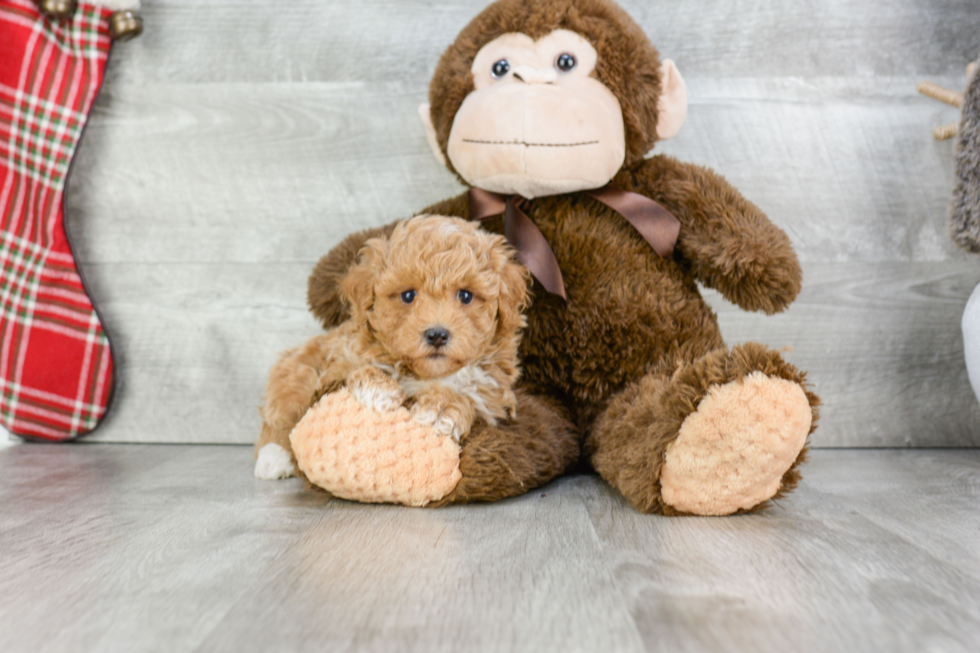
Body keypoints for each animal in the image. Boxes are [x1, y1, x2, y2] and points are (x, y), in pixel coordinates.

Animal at [253, 215, 528, 478]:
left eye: (466, 296)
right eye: (408, 295)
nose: (437, 335)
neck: (427, 374)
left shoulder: (491, 398)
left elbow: (469, 399)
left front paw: (441, 409)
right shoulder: (340, 356)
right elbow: (353, 369)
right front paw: (378, 387)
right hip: (298, 372)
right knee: (281, 415)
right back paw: (272, 458)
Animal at [302, 0, 816, 516]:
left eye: (566, 61)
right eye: (499, 66)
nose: (526, 81)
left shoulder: (492, 395)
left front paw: (440, 410)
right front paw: (375, 387)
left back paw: (725, 415)